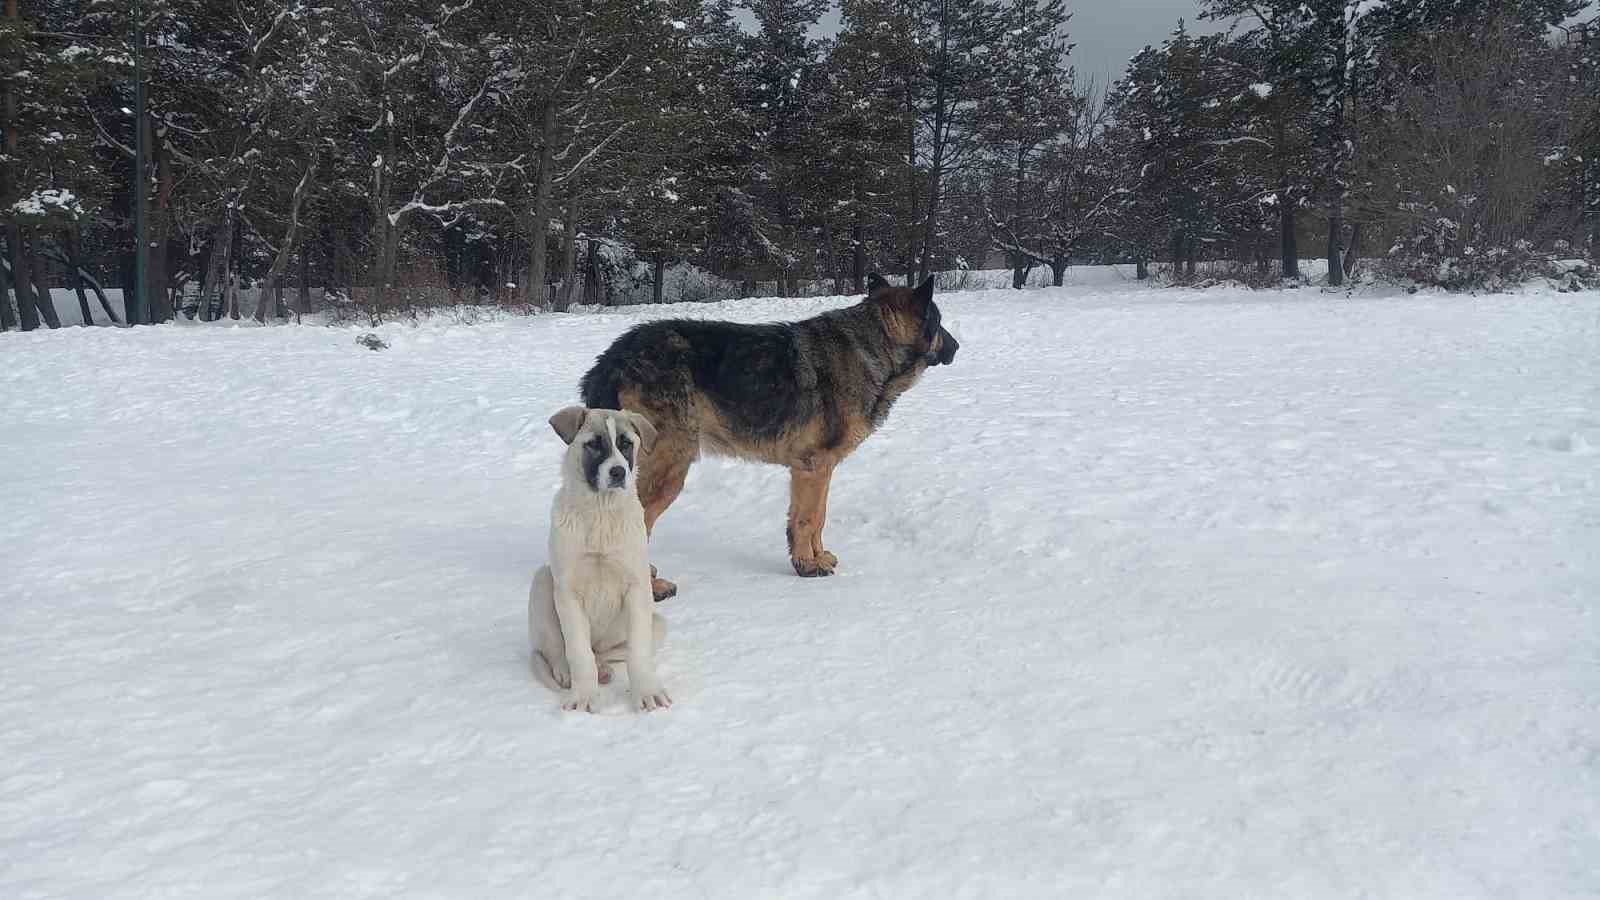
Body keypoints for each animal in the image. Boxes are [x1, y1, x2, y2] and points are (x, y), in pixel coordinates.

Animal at [531, 403, 668, 711]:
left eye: (626, 444)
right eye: (593, 444)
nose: (618, 472)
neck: (601, 511)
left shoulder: (638, 588)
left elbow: (638, 651)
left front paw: (646, 692)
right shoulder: (567, 592)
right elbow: (578, 651)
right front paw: (583, 696)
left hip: (657, 623)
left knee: (610, 654)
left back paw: (604, 669)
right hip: (543, 581)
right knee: (558, 650)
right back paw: (566, 672)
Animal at [582, 269, 953, 598]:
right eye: (938, 323)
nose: (958, 347)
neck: (873, 346)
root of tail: (612, 358)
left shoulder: (817, 470)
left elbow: (817, 517)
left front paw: (817, 556)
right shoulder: (813, 467)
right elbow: (807, 519)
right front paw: (807, 565)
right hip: (670, 468)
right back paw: (650, 586)